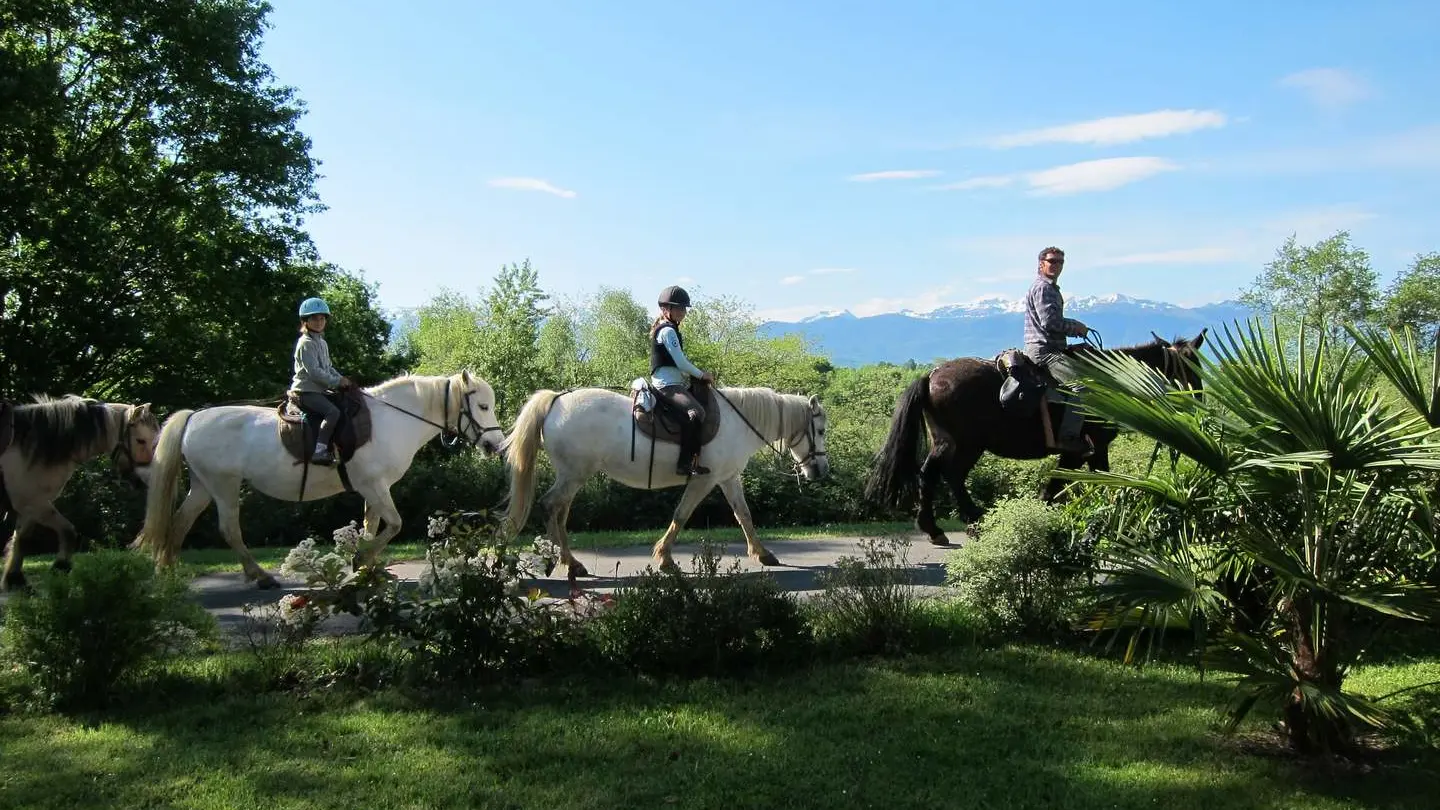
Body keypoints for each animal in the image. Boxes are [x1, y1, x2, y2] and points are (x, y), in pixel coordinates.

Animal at [135, 368, 504, 582]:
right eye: (483, 406)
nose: (496, 445)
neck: (394, 420)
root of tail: (194, 417)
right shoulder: (374, 485)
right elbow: (394, 525)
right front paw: (362, 559)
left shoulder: (373, 488)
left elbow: (371, 526)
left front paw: (365, 565)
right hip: (223, 484)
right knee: (228, 529)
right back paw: (258, 575)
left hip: (203, 485)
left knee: (179, 523)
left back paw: (167, 570)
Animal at [501, 383, 835, 573]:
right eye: (820, 430)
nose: (821, 470)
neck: (739, 422)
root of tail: (557, 400)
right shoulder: (704, 480)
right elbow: (681, 515)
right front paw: (664, 558)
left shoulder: (729, 478)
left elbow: (744, 515)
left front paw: (763, 554)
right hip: (573, 474)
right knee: (550, 506)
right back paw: (568, 562)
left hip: (572, 476)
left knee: (559, 511)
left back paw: (568, 560)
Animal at [858, 328, 1209, 541]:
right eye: (1193, 368)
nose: (1200, 405)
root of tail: (931, 376)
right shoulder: (1093, 449)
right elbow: (1096, 481)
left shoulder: (1075, 453)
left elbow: (1055, 485)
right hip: (965, 444)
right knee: (949, 475)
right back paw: (973, 521)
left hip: (948, 441)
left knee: (934, 473)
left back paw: (937, 528)